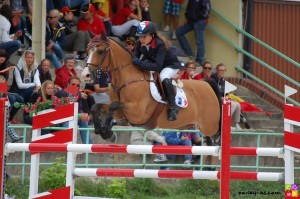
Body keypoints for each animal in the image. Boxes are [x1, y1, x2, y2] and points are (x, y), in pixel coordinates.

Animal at [85, 32, 221, 141]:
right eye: (87, 50)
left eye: (100, 51)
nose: (86, 74)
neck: (126, 79)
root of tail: (207, 84)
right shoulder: (121, 113)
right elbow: (97, 107)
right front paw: (105, 132)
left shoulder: (137, 113)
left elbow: (113, 106)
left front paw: (107, 131)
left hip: (210, 125)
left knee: (217, 132)